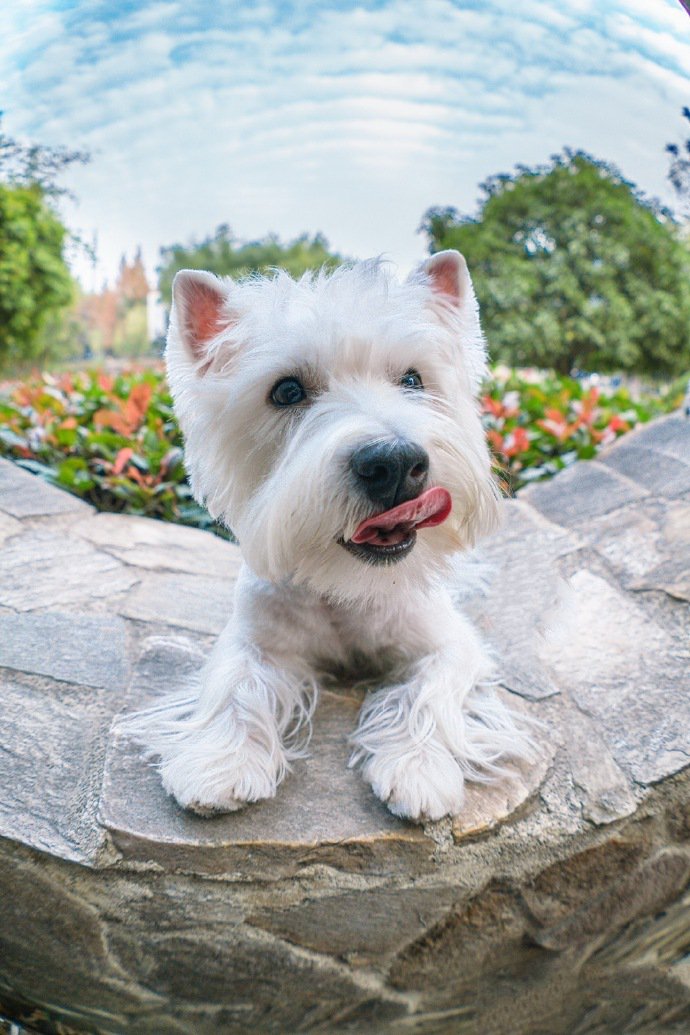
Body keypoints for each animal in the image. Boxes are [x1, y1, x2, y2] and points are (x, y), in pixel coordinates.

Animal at [136, 248, 533, 815]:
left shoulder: (448, 643)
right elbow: (234, 683)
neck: (344, 588)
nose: (395, 462)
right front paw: (221, 764)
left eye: (413, 380)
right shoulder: (253, 638)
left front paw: (418, 768)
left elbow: (431, 688)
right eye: (286, 391)